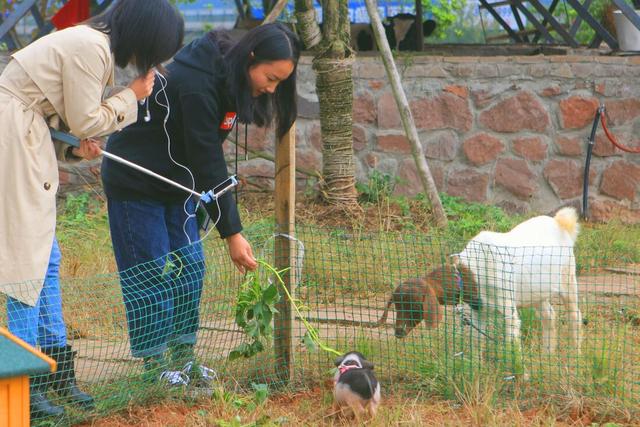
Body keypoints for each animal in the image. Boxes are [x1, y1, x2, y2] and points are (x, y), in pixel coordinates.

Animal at [452, 207, 584, 358]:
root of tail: (559, 222)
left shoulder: (508, 309)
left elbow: (512, 343)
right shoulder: (478, 312)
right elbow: (476, 339)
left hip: (568, 281)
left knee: (574, 316)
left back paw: (576, 355)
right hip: (536, 291)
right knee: (548, 316)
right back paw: (547, 356)